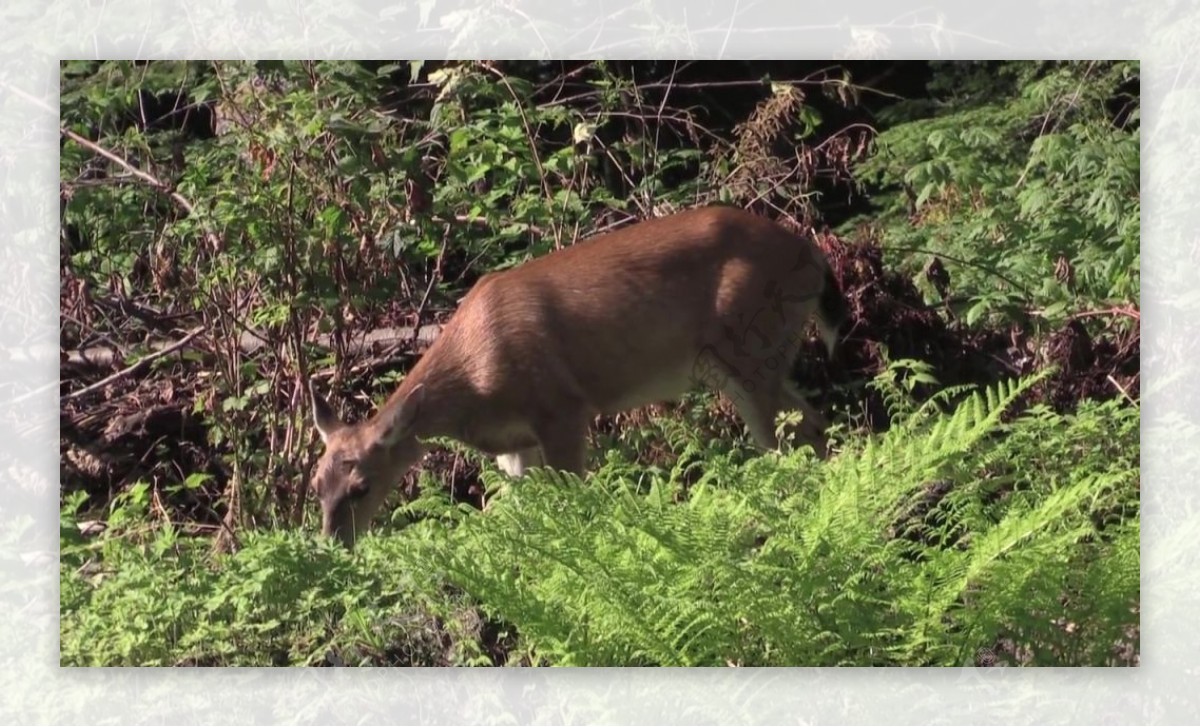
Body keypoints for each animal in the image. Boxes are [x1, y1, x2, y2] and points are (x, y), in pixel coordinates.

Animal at [314, 205, 849, 547]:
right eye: (316, 485)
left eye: (362, 487)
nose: (334, 544)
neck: (473, 381)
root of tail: (815, 255)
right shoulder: (515, 442)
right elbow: (521, 509)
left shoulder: (562, 408)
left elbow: (573, 500)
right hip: (755, 361)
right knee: (812, 427)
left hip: (750, 349)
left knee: (790, 440)